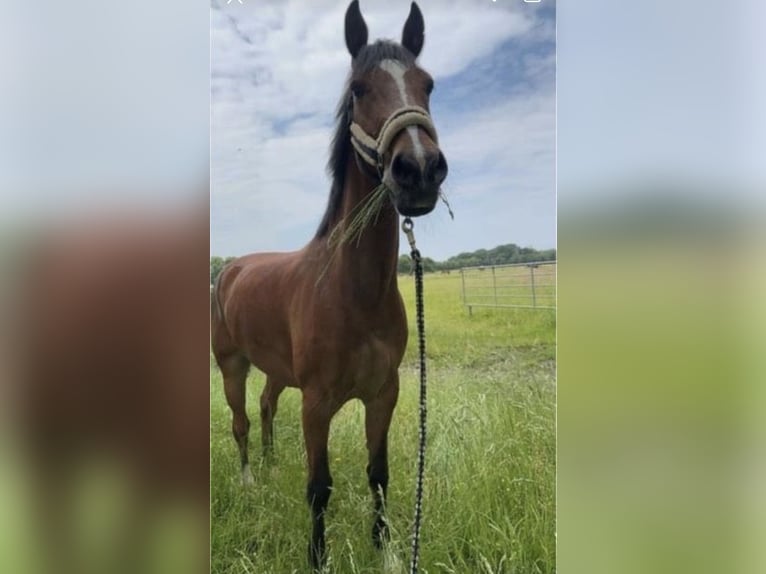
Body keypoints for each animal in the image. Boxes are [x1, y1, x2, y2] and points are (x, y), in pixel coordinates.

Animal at [212, 2, 450, 572]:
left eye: (427, 85)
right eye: (359, 89)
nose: (419, 168)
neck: (353, 291)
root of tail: (229, 269)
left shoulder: (384, 394)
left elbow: (379, 475)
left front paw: (385, 548)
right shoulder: (317, 404)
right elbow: (319, 486)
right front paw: (317, 555)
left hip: (276, 371)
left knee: (266, 406)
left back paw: (272, 465)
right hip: (231, 366)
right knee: (241, 422)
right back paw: (250, 479)